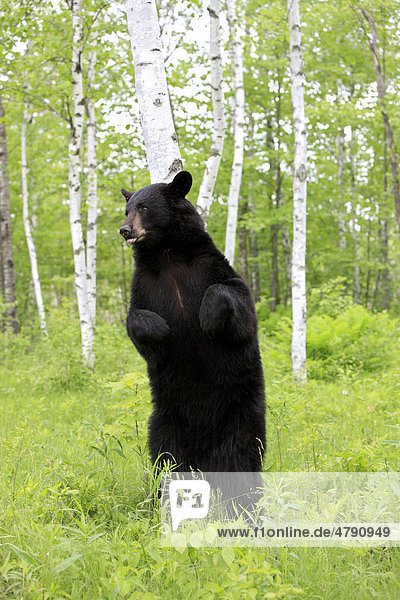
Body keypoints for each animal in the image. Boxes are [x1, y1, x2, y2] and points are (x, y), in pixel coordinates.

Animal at [120, 171, 268, 476]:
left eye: (144, 207)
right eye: (126, 210)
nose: (125, 230)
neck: (167, 254)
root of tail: (203, 458)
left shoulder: (210, 267)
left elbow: (237, 304)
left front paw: (207, 318)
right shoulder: (145, 285)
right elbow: (135, 318)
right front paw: (160, 329)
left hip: (241, 417)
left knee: (242, 458)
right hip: (165, 421)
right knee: (165, 458)